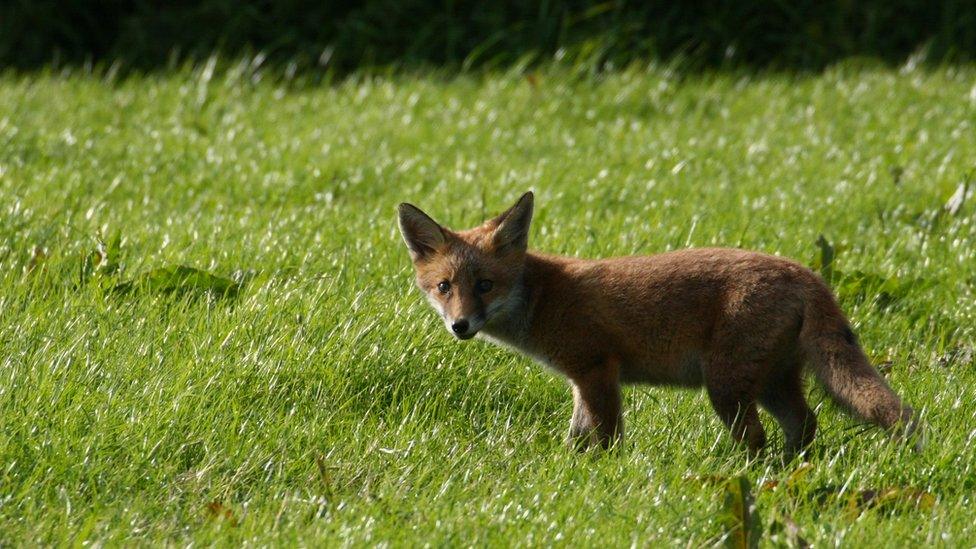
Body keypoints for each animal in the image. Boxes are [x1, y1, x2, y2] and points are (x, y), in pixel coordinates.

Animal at [394, 189, 916, 454]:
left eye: (484, 285)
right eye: (444, 287)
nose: (460, 326)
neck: (543, 297)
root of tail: (807, 273)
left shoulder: (598, 370)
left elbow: (606, 437)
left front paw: (604, 475)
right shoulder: (582, 380)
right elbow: (576, 438)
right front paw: (571, 468)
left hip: (726, 387)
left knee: (759, 438)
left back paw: (742, 472)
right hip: (770, 382)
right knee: (805, 425)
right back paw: (792, 468)